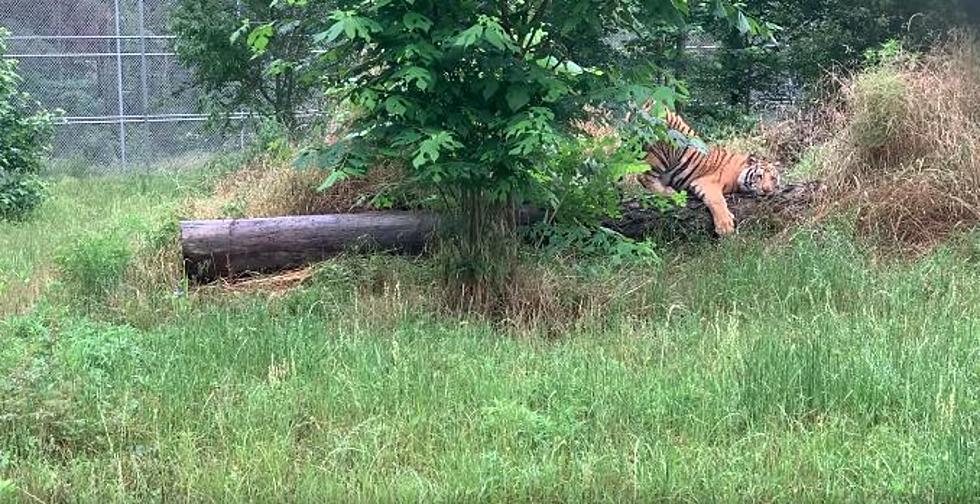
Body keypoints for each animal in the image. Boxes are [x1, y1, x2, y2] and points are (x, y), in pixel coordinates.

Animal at [636, 106, 780, 236]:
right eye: (759, 176)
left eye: (773, 179)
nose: (767, 190)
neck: (739, 172)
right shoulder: (707, 182)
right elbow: (718, 200)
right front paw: (725, 227)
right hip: (663, 149)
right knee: (643, 176)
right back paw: (670, 192)